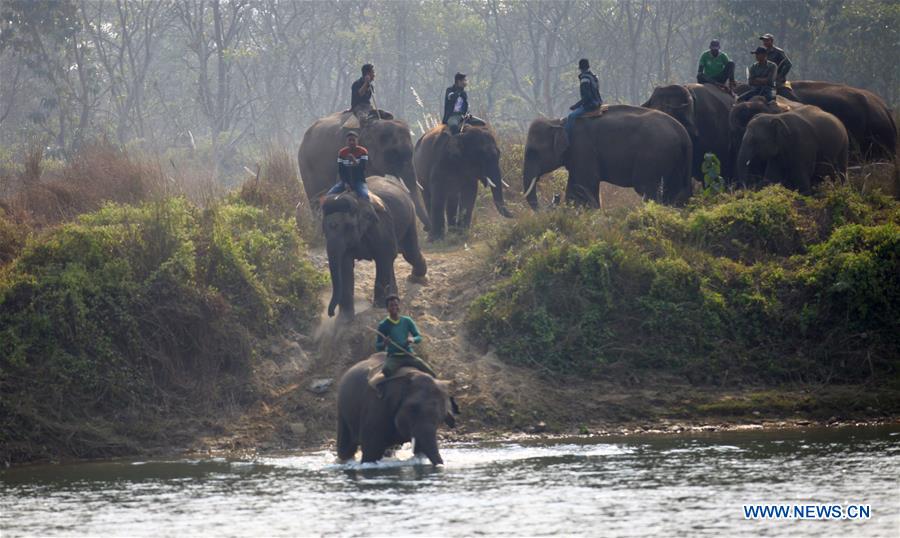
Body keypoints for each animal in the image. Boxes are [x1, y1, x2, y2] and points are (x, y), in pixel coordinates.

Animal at [322, 176, 428, 318]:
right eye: (324, 230)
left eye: (349, 227)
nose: (331, 314)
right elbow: (345, 264)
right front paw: (345, 317)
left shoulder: (380, 225)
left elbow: (384, 255)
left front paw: (379, 306)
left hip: (410, 217)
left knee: (409, 253)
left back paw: (416, 278)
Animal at [524, 104, 692, 207]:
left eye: (533, 152)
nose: (555, 197)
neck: (559, 122)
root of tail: (683, 133)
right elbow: (575, 187)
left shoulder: (583, 148)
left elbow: (585, 183)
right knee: (675, 193)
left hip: (654, 157)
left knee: (648, 189)